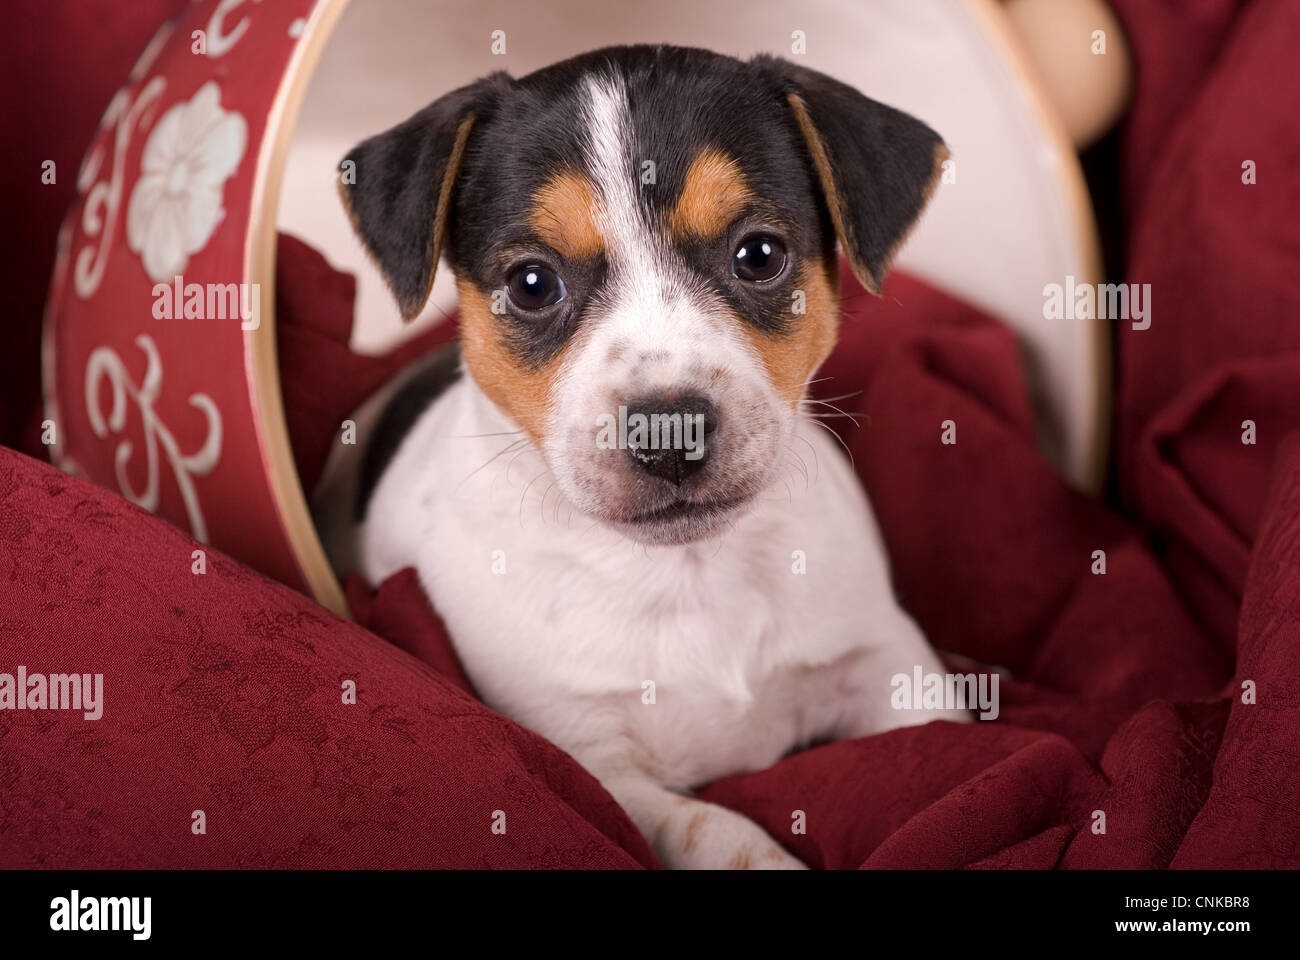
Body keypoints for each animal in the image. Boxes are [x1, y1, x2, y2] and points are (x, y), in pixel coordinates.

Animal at [340, 46, 972, 868]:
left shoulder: (891, 668)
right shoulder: (589, 766)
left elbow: (947, 747)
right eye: (531, 283)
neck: (688, 574)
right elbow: (721, 830)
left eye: (760, 255)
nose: (669, 431)